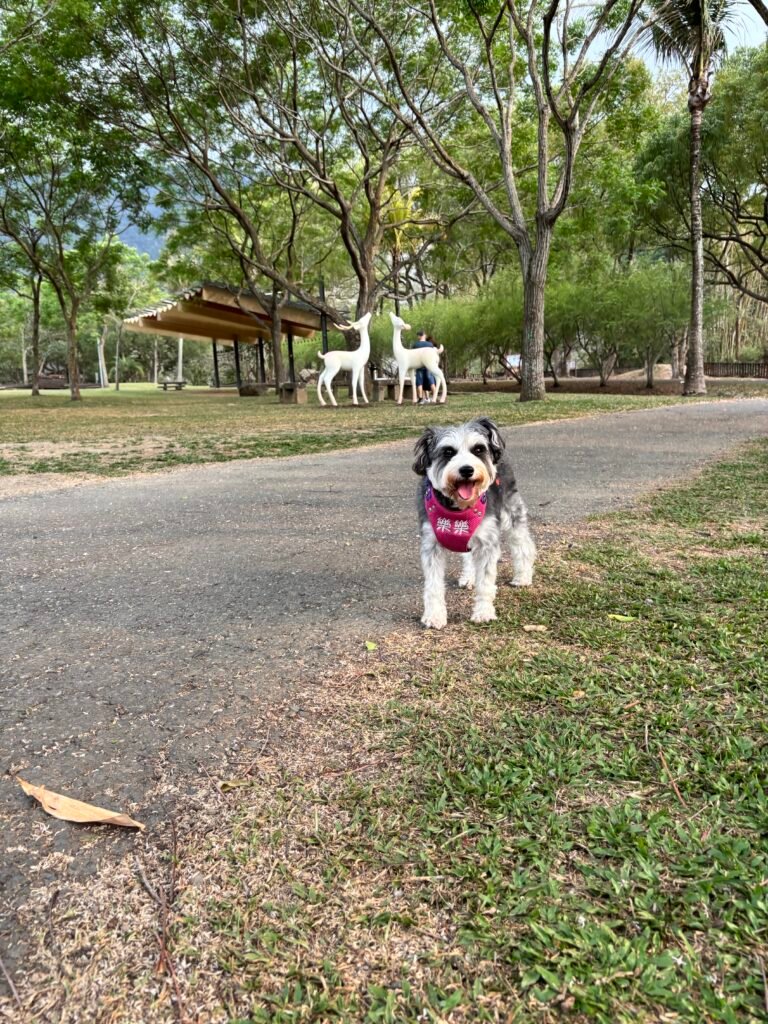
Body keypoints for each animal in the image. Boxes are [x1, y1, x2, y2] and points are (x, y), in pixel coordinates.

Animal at [413, 418, 536, 628]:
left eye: (478, 449)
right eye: (448, 452)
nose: (467, 469)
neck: (458, 508)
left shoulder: (487, 542)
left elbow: (485, 582)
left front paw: (483, 612)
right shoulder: (431, 545)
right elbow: (433, 585)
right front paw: (434, 616)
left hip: (512, 513)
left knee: (523, 546)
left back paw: (522, 577)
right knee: (469, 554)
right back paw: (469, 577)